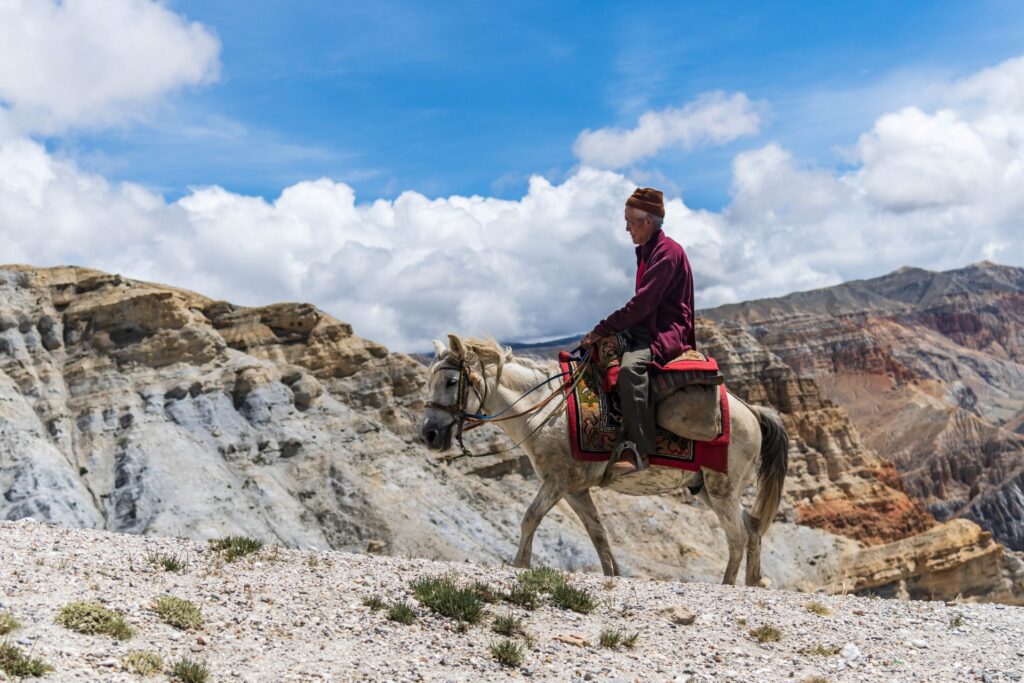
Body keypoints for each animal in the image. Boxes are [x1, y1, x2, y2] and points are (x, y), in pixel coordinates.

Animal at [419, 334, 789, 586]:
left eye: (451, 381)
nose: (429, 435)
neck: (546, 410)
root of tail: (751, 410)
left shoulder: (558, 482)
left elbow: (530, 518)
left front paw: (520, 565)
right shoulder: (575, 490)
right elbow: (598, 533)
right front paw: (613, 574)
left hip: (722, 487)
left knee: (737, 537)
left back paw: (728, 585)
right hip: (709, 490)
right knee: (752, 526)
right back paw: (754, 582)